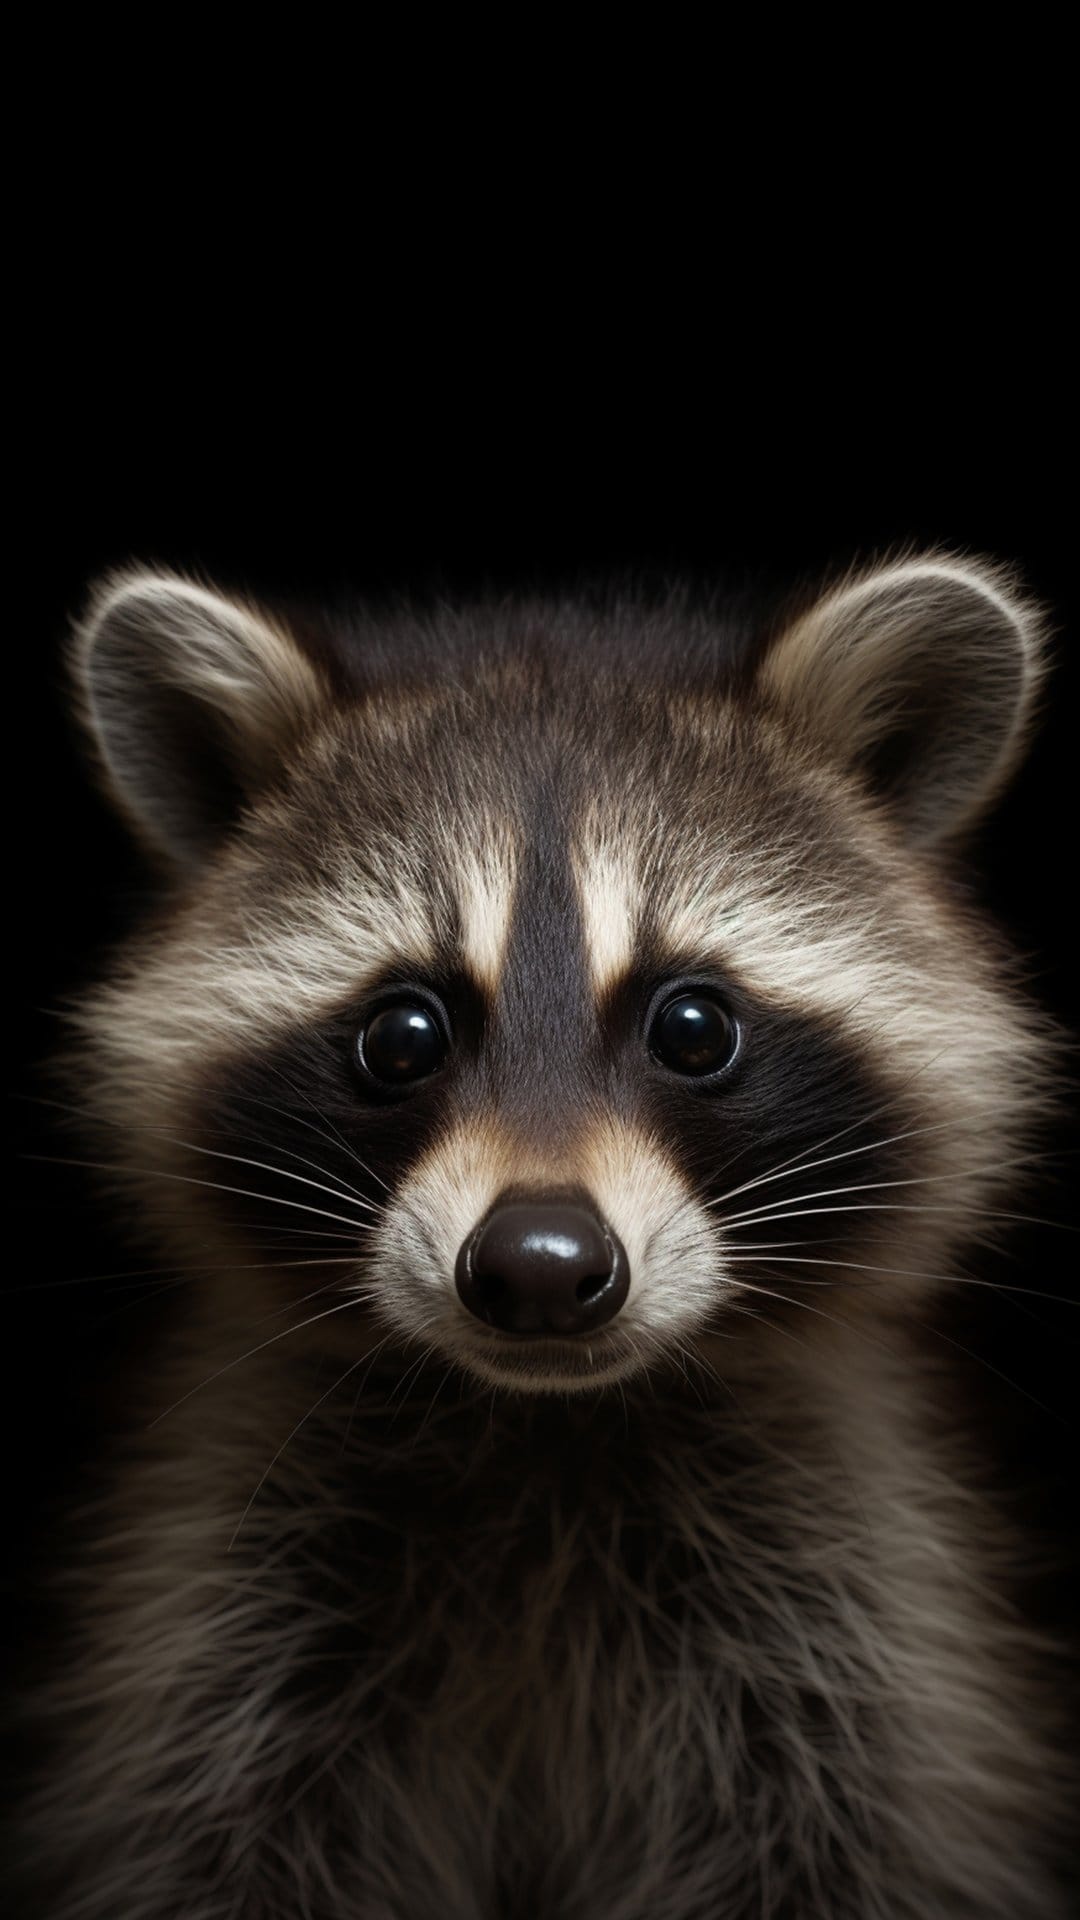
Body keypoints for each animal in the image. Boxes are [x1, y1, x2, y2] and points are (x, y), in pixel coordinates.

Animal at [13, 554, 1073, 1918]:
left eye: (693, 1027)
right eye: (402, 1035)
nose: (540, 1267)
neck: (544, 1428)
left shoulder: (844, 1641)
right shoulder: (226, 1640)